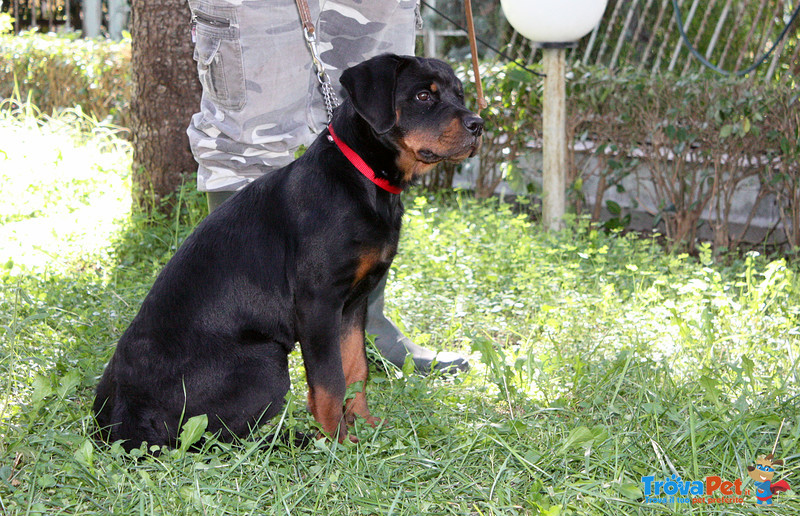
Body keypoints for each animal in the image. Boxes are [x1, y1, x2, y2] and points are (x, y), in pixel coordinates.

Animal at [94, 53, 482, 448]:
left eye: (459, 94)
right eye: (423, 96)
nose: (478, 125)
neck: (363, 181)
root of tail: (120, 425)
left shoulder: (353, 305)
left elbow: (356, 369)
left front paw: (365, 425)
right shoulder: (318, 303)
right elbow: (329, 381)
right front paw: (337, 441)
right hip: (265, 362)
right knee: (218, 438)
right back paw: (292, 439)